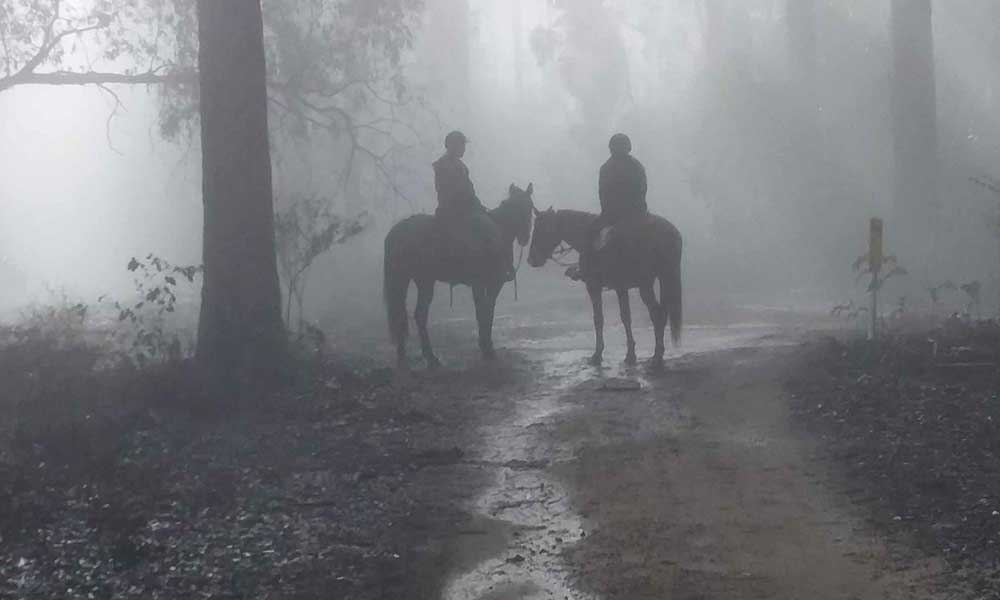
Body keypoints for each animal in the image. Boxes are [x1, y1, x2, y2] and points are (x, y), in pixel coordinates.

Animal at [384, 184, 540, 370]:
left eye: (529, 207)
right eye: (517, 207)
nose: (524, 237)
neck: (499, 230)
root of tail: (397, 232)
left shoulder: (490, 285)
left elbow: (488, 311)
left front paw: (486, 345)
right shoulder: (483, 284)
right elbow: (483, 311)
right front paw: (487, 348)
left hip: (414, 281)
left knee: (409, 315)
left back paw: (411, 358)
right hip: (414, 281)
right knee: (412, 315)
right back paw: (423, 358)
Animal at [528, 206, 684, 366]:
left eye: (542, 229)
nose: (531, 259)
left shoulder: (593, 286)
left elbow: (598, 319)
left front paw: (597, 354)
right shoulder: (621, 288)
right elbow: (625, 317)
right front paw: (630, 354)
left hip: (645, 285)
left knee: (657, 313)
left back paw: (657, 356)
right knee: (661, 313)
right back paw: (658, 354)